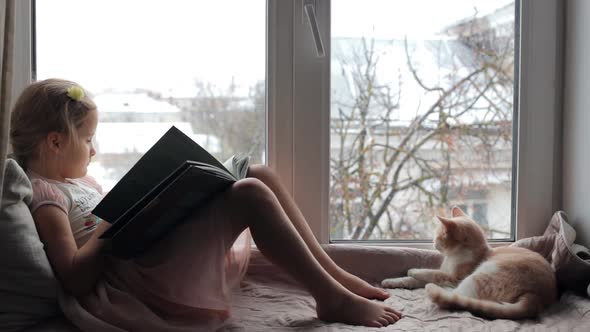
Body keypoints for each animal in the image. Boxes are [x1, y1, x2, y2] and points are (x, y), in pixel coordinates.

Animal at [382, 208, 556, 320]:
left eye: (438, 237)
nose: (433, 243)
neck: (452, 257)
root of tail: (536, 297)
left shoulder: (454, 278)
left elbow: (432, 273)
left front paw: (413, 270)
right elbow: (412, 280)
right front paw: (392, 281)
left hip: (479, 276)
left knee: (455, 296)